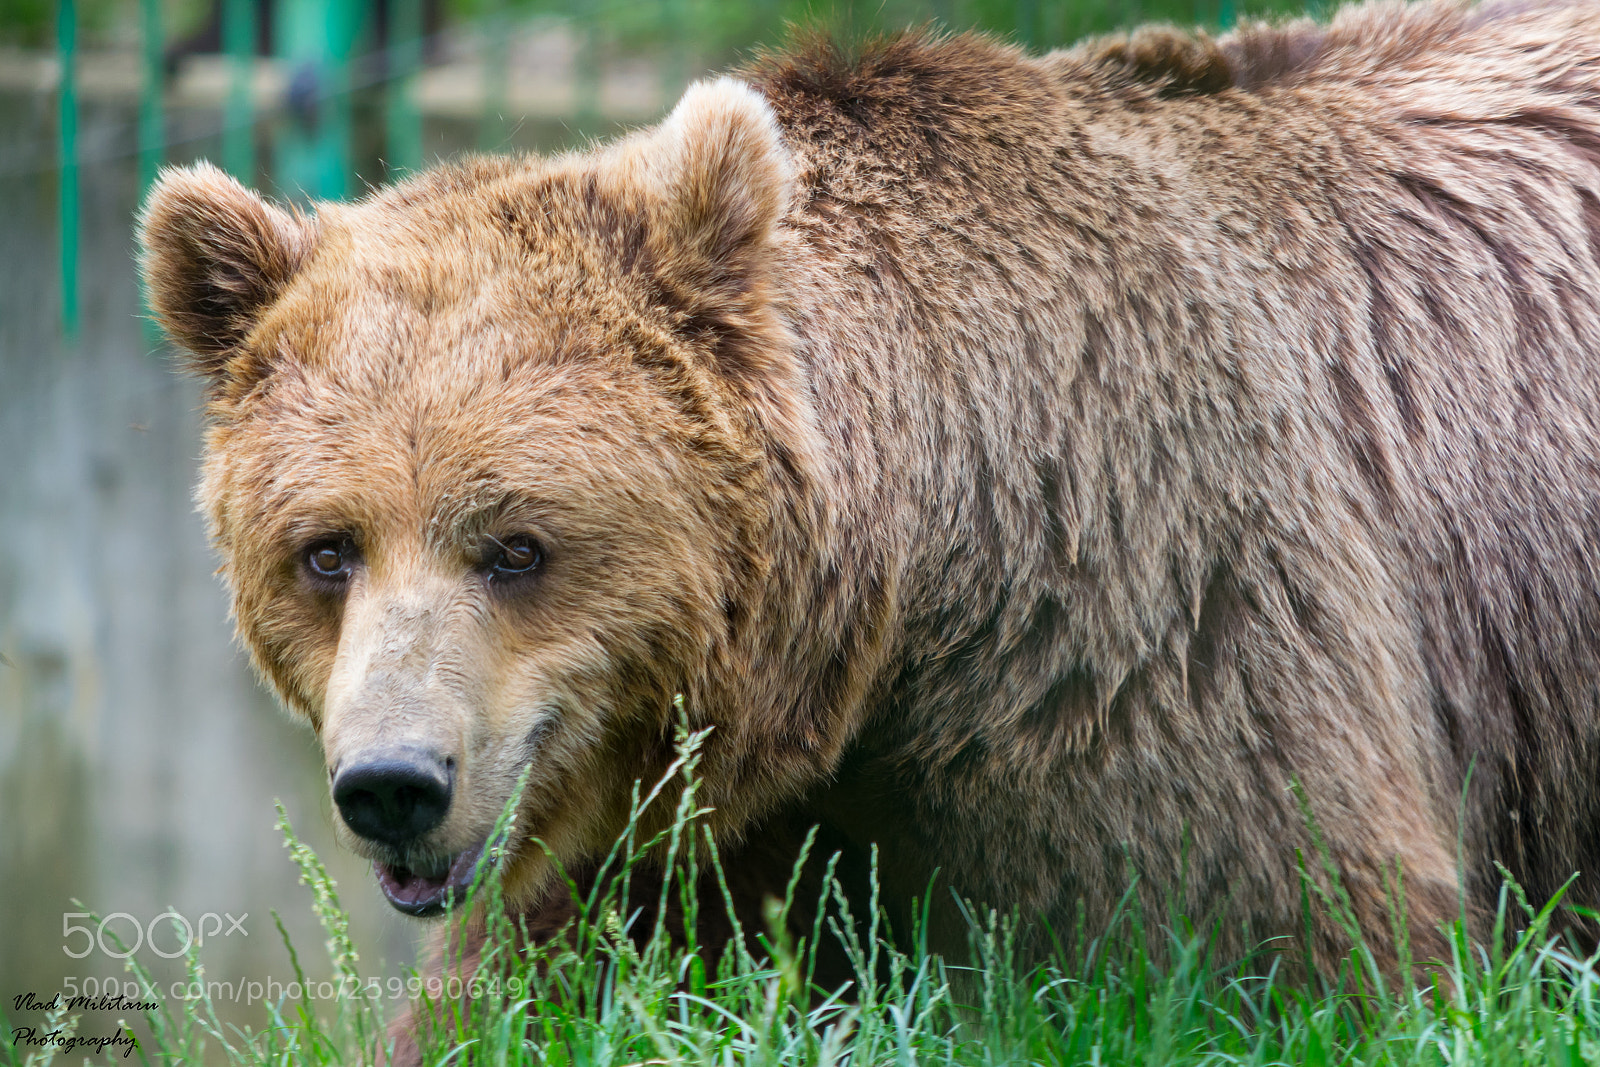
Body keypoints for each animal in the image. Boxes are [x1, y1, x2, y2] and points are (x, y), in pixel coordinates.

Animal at [139, 0, 1600, 1046]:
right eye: (327, 548)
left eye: (516, 544)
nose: (394, 781)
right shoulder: (650, 831)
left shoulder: (1156, 608)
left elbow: (1284, 931)